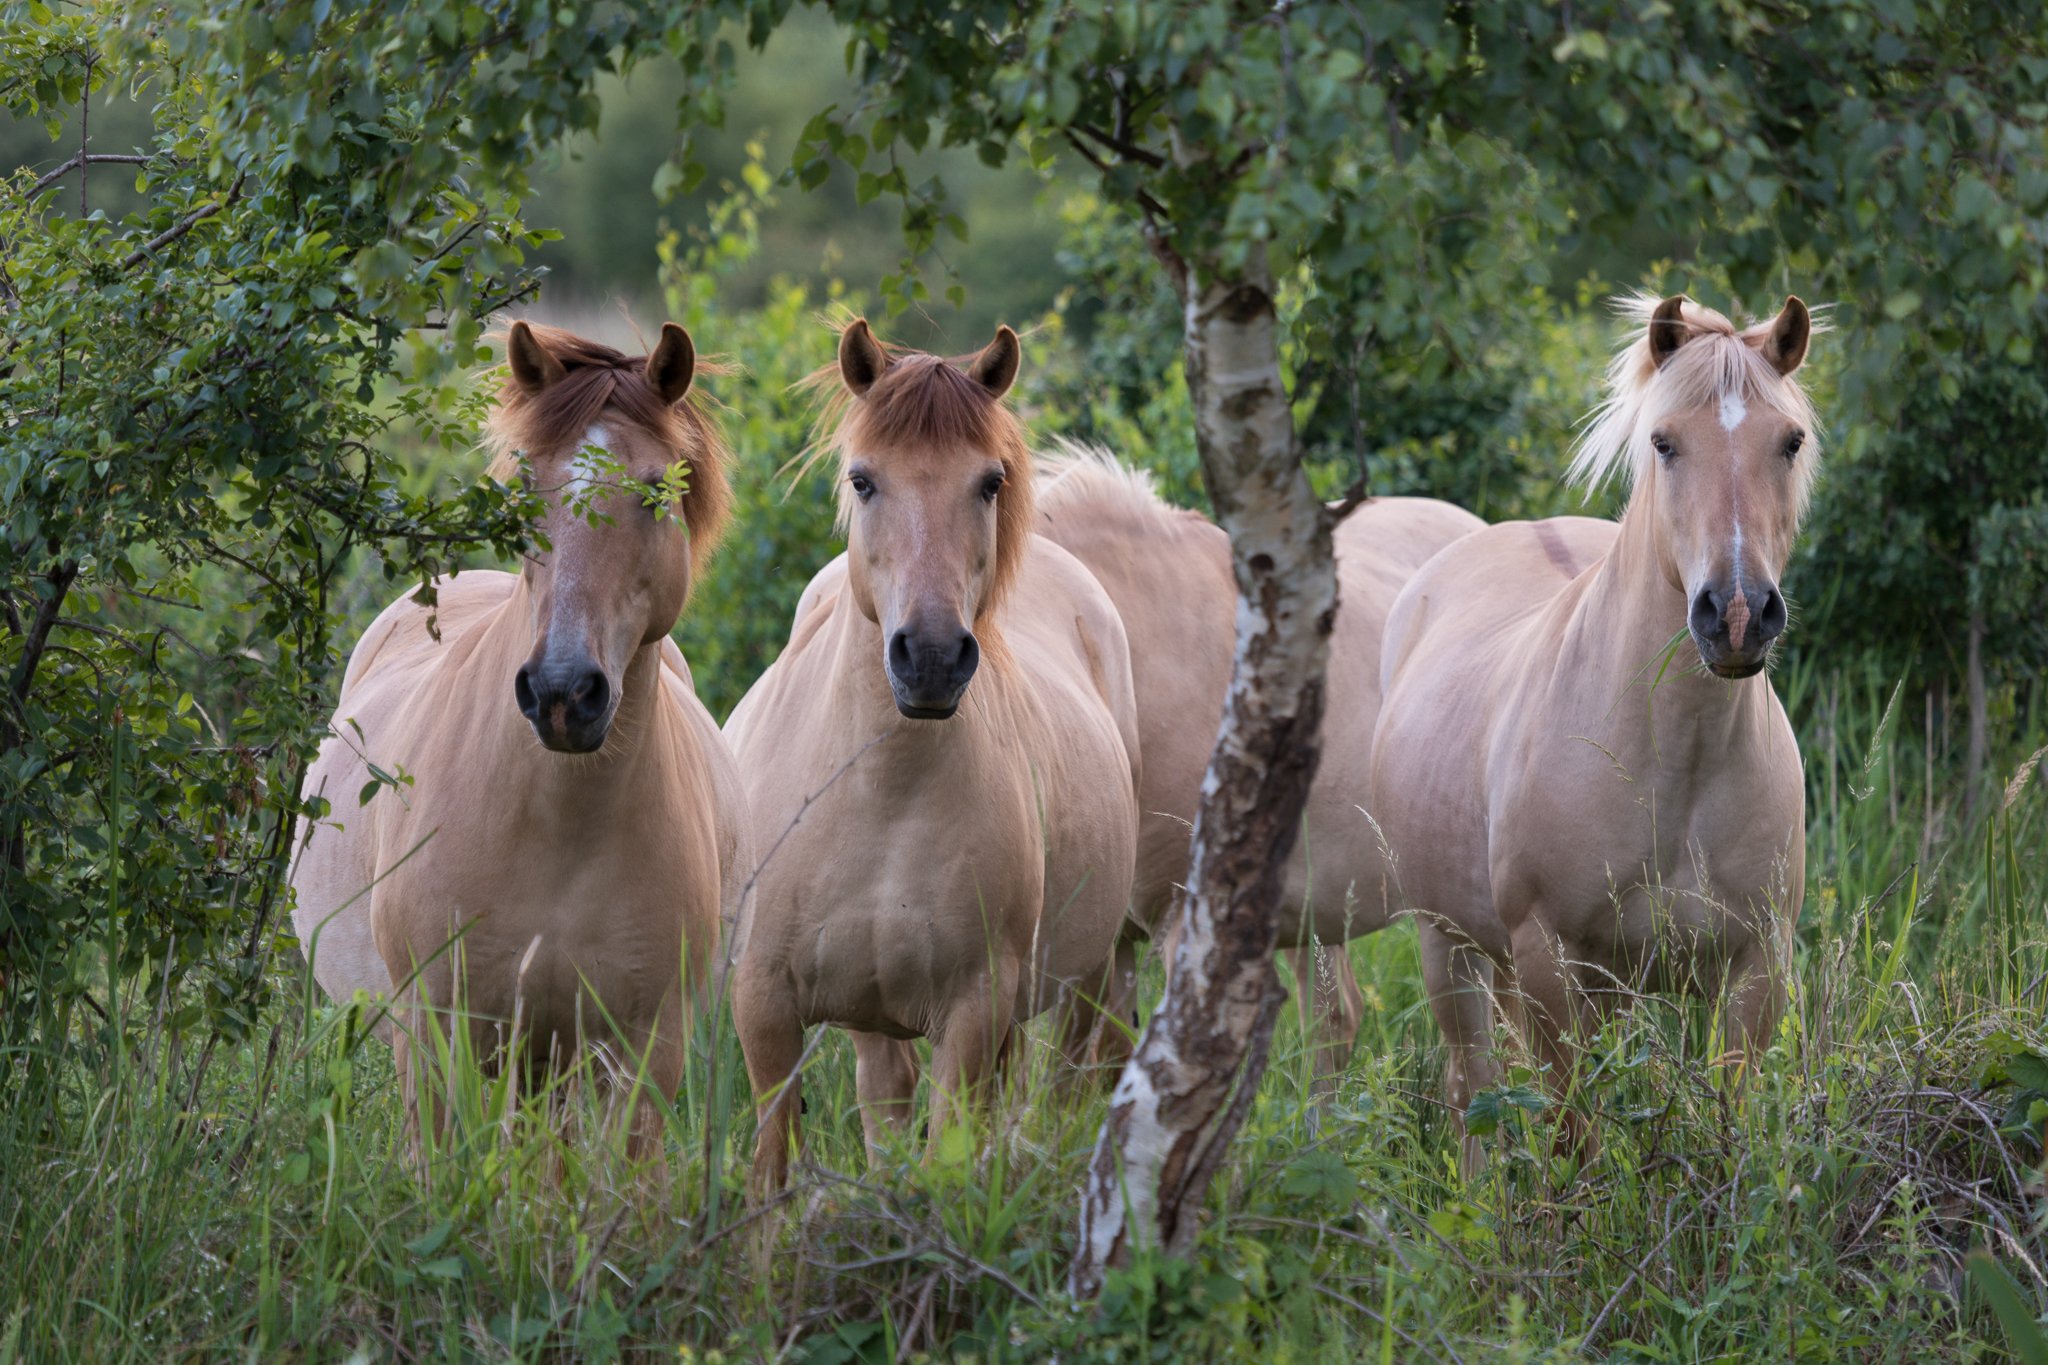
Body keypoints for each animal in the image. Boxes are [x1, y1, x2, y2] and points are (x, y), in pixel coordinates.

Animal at [288, 323, 753, 1162]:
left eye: (654, 491)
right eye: (525, 491)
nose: (564, 691)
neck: (556, 825)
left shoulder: (643, 1050)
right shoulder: (436, 1034)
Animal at [720, 321, 1146, 1186]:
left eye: (988, 481)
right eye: (863, 479)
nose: (932, 657)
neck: (884, 793)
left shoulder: (975, 1013)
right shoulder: (765, 1010)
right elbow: (773, 1167)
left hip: (1092, 974)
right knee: (884, 1091)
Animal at [1368, 294, 1818, 1170]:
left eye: (1789, 441)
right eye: (1664, 441)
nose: (1737, 614)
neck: (1677, 764)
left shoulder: (1757, 964)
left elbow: (1728, 1124)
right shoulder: (1550, 960)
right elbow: (1575, 1134)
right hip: (1450, 948)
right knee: (1473, 1088)